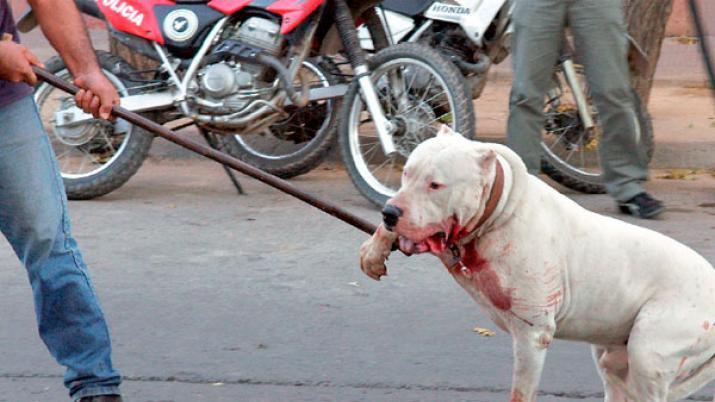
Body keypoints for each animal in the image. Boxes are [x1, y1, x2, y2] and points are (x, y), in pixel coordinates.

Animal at [364, 128, 715, 402]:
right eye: (406, 173)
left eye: (435, 185)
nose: (390, 212)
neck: (497, 211)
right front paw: (375, 248)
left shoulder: (532, 336)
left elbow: (522, 392)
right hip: (614, 357)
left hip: (649, 351)